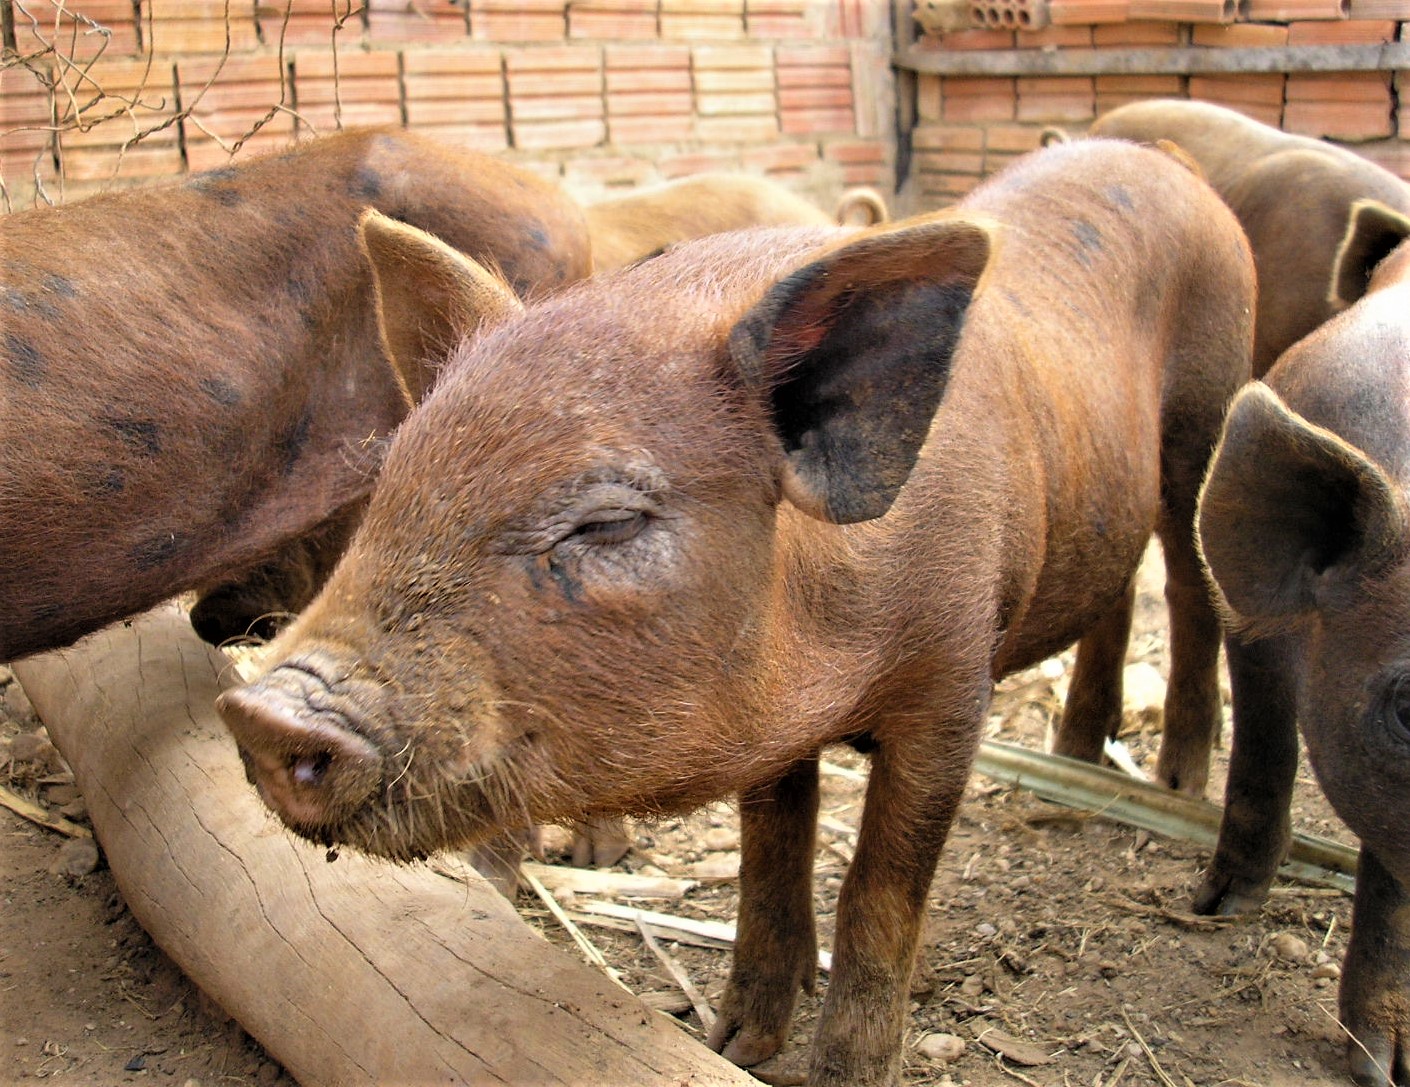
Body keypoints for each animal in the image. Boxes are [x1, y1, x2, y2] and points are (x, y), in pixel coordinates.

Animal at [219, 138, 1257, 1087]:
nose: (266, 711)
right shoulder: (771, 728)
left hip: (1206, 416)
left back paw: (1178, 780)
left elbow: (882, 886)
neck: (835, 622)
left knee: (1194, 584)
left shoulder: (953, 683)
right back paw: (1082, 758)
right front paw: (736, 1043)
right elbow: (769, 847)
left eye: (607, 519)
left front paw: (839, 1074)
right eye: (396, 478)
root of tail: (1166, 160)